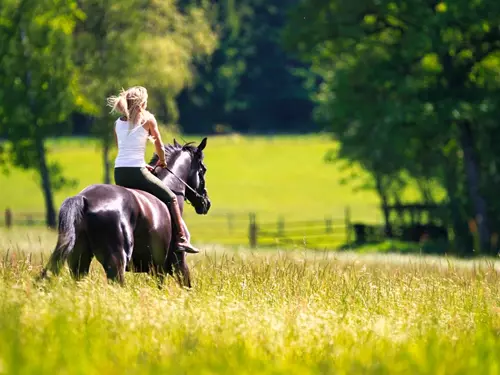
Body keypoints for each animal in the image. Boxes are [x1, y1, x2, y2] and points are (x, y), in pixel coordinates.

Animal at [40, 138, 210, 288]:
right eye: (203, 170)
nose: (206, 203)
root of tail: (84, 198)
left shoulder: (157, 269)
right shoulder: (178, 264)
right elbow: (187, 288)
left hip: (79, 260)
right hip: (116, 261)